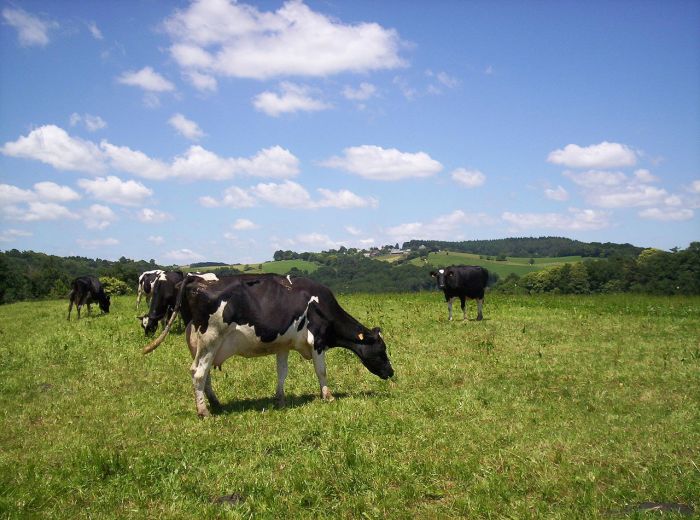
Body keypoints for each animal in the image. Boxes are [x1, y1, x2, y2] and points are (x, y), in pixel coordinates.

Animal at [144, 274, 394, 416]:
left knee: (205, 375)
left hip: (200, 345)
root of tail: (196, 279)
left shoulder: (283, 344)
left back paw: (215, 403)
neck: (321, 305)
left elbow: (282, 371)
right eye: (382, 350)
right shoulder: (317, 341)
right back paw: (204, 411)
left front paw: (280, 399)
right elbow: (321, 371)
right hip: (210, 339)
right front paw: (328, 396)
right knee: (198, 374)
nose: (391, 372)